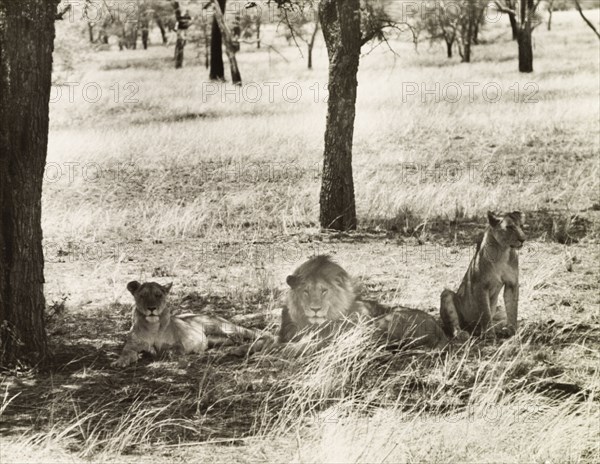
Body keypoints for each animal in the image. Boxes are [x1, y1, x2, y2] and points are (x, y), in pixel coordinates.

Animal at [113, 280, 268, 368]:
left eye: (159, 295)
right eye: (142, 295)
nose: (152, 308)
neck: (152, 327)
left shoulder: (178, 345)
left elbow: (169, 351)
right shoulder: (131, 346)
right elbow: (126, 353)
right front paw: (120, 361)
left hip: (224, 327)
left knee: (261, 333)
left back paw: (244, 349)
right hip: (218, 338)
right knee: (237, 340)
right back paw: (238, 349)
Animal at [440, 211, 524, 340]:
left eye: (521, 226)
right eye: (510, 227)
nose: (523, 239)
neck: (502, 251)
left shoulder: (512, 283)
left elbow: (512, 309)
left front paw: (512, 330)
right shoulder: (480, 286)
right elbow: (485, 312)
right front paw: (489, 334)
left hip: (499, 309)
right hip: (447, 295)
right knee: (454, 325)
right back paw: (463, 333)